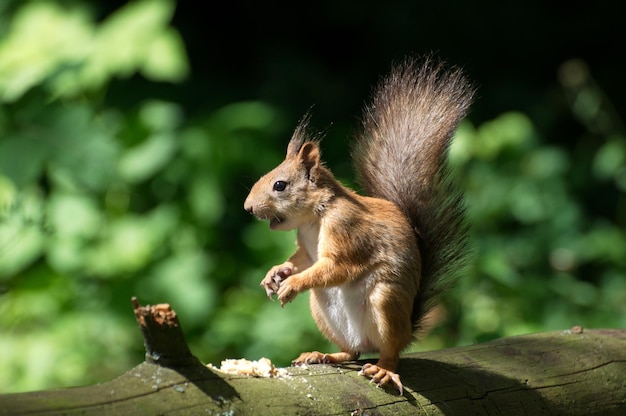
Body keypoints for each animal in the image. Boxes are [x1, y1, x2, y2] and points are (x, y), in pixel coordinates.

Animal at [243, 57, 472, 394]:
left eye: (280, 185)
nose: (248, 207)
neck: (315, 217)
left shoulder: (346, 228)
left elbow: (338, 266)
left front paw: (291, 284)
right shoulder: (305, 247)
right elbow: (303, 260)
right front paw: (276, 273)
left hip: (385, 301)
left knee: (390, 352)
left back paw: (384, 370)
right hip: (322, 309)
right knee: (352, 352)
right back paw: (323, 354)